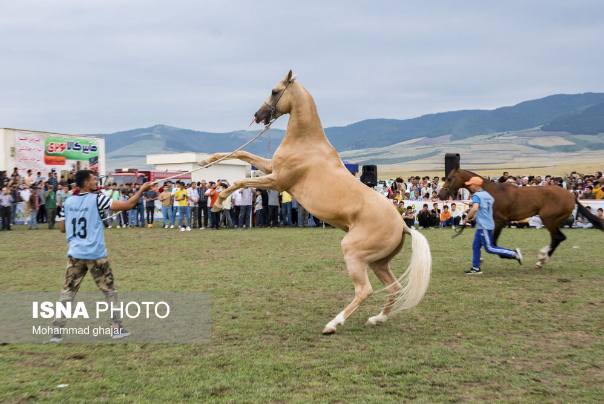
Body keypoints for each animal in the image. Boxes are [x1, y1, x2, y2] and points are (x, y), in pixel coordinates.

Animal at [198, 70, 430, 334]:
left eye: (275, 91)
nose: (258, 116)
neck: (306, 143)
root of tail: (402, 225)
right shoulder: (270, 168)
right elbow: (241, 154)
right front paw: (206, 161)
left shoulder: (277, 180)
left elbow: (240, 182)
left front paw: (218, 202)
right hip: (378, 263)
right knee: (394, 289)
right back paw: (377, 319)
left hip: (354, 255)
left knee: (365, 291)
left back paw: (333, 324)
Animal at [438, 164, 604, 268]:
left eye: (449, 178)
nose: (440, 195)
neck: (492, 192)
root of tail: (571, 195)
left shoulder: (499, 221)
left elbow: (493, 243)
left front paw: (511, 255)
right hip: (552, 220)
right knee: (556, 238)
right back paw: (542, 259)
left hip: (548, 219)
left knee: (558, 237)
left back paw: (541, 259)